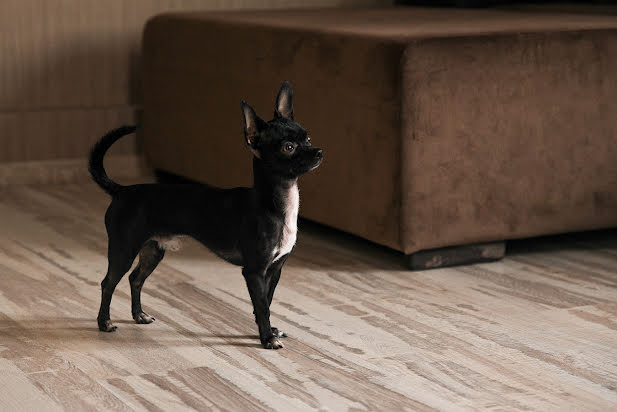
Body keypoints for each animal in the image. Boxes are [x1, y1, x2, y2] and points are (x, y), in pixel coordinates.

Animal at [91, 82, 324, 350]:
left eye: (308, 138)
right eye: (289, 147)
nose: (319, 151)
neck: (276, 203)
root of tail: (122, 190)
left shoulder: (274, 270)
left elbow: (267, 301)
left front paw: (268, 330)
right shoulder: (254, 271)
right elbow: (263, 306)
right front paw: (267, 338)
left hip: (153, 250)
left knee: (135, 279)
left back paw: (138, 315)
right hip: (124, 250)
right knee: (108, 283)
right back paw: (104, 322)